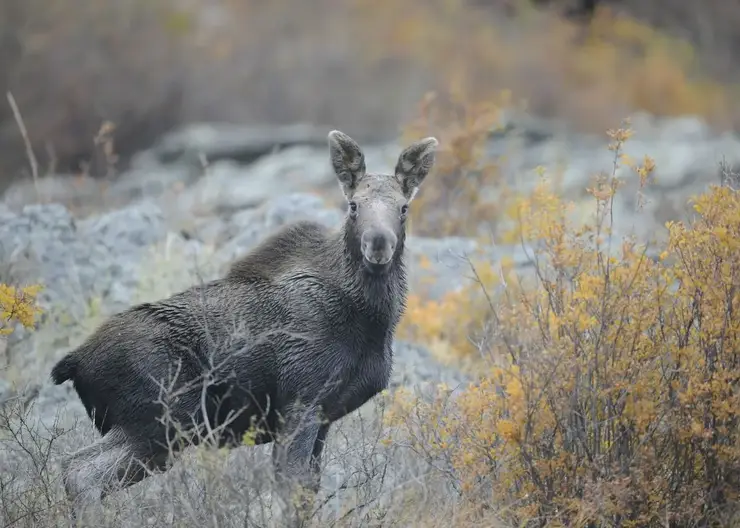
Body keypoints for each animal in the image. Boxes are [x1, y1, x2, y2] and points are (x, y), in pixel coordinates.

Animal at [49, 129, 440, 520]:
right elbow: (293, 487)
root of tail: (74, 363)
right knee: (80, 470)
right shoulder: (301, 399)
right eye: (354, 205)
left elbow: (308, 489)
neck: (373, 324)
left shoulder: (325, 415)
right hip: (163, 420)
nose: (378, 245)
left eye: (403, 208)